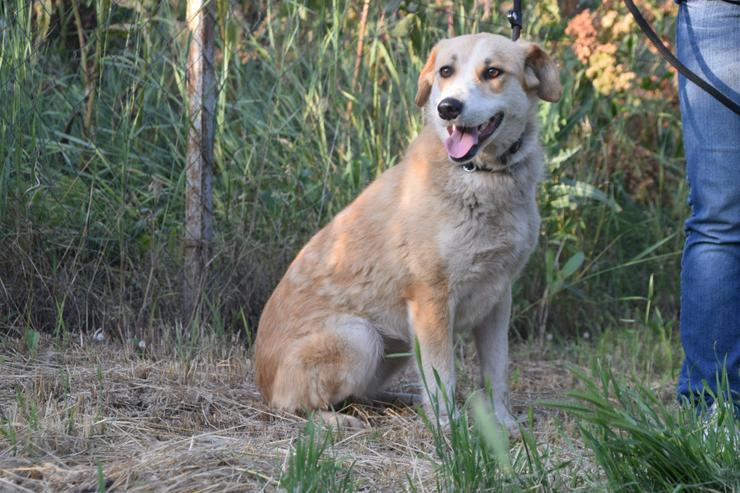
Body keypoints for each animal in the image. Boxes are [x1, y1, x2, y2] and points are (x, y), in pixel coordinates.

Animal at [254, 32, 560, 428]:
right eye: (446, 71)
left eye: (493, 72)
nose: (448, 108)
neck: (481, 177)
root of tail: (262, 381)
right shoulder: (432, 299)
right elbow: (442, 376)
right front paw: (448, 428)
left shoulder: (499, 297)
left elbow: (497, 372)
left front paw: (503, 424)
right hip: (360, 338)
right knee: (291, 404)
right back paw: (335, 420)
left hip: (394, 346)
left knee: (363, 392)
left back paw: (400, 400)